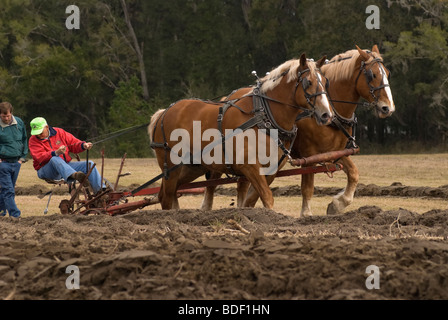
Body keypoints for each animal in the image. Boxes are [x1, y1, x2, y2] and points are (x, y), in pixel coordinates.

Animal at [150, 53, 332, 210]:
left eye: (325, 81)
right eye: (308, 82)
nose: (326, 114)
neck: (264, 116)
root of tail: (164, 113)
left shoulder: (271, 169)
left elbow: (250, 202)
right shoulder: (250, 166)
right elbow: (267, 198)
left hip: (192, 167)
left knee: (170, 192)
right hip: (171, 166)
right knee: (166, 197)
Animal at [201, 43, 394, 216]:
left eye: (387, 73)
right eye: (372, 74)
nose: (388, 108)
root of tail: (229, 98)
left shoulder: (334, 152)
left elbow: (354, 174)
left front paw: (337, 205)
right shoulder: (309, 155)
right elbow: (307, 188)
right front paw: (306, 214)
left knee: (242, 185)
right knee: (212, 183)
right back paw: (206, 209)